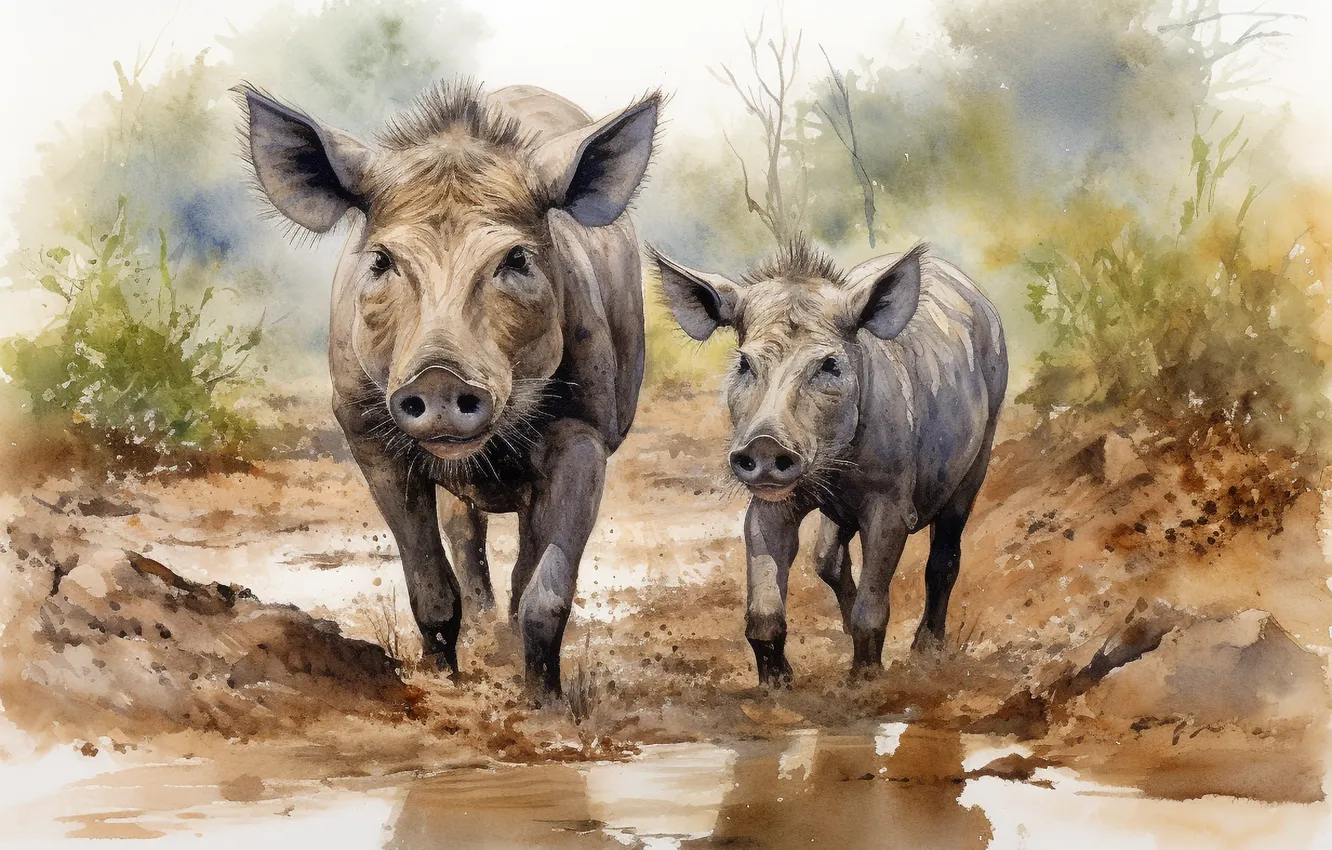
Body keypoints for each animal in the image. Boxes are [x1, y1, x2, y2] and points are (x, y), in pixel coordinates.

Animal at [237, 81, 659, 693]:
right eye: (381, 261)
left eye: (517, 258)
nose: (439, 377)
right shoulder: (364, 429)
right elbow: (429, 587)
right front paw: (443, 682)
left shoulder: (586, 428)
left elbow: (547, 593)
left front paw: (544, 703)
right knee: (465, 528)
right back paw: (485, 625)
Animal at [653, 236, 1007, 684]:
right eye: (744, 364)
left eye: (829, 365)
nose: (765, 443)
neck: (832, 473)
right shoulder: (771, 501)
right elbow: (764, 606)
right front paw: (777, 685)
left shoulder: (891, 502)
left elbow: (873, 606)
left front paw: (863, 682)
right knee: (828, 558)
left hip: (982, 447)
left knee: (945, 553)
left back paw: (926, 652)